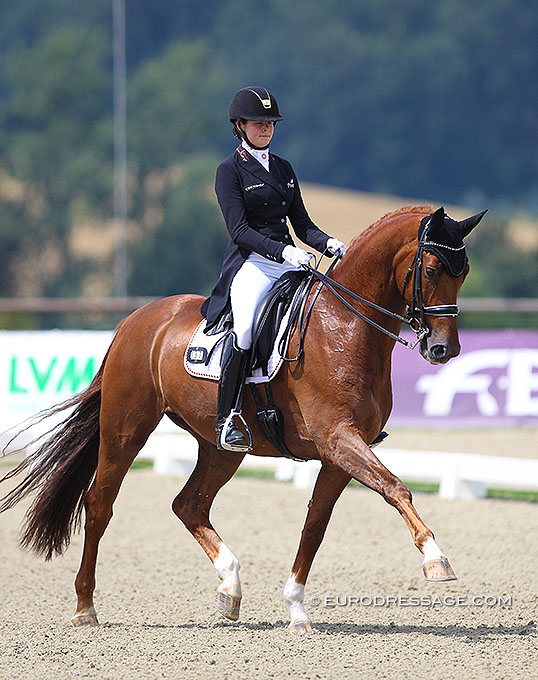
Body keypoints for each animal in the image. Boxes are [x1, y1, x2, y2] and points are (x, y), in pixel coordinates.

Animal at [0, 204, 485, 634]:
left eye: (462, 273)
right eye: (431, 270)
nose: (444, 350)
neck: (346, 327)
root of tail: (135, 320)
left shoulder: (339, 454)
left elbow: (315, 526)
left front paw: (297, 611)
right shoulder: (339, 439)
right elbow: (395, 487)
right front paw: (436, 559)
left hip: (221, 447)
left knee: (189, 504)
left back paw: (230, 587)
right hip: (125, 429)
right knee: (100, 504)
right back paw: (85, 608)